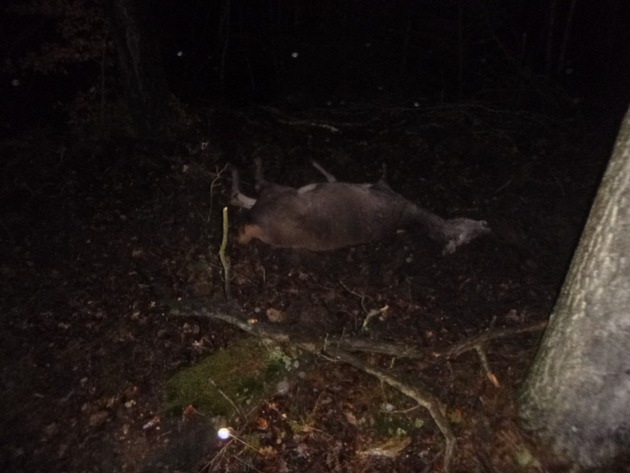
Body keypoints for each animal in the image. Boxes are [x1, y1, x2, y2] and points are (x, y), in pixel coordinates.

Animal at [230, 159, 492, 254]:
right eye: (471, 232)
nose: (486, 225)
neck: (410, 218)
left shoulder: (381, 187)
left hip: (276, 195)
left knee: (250, 192)